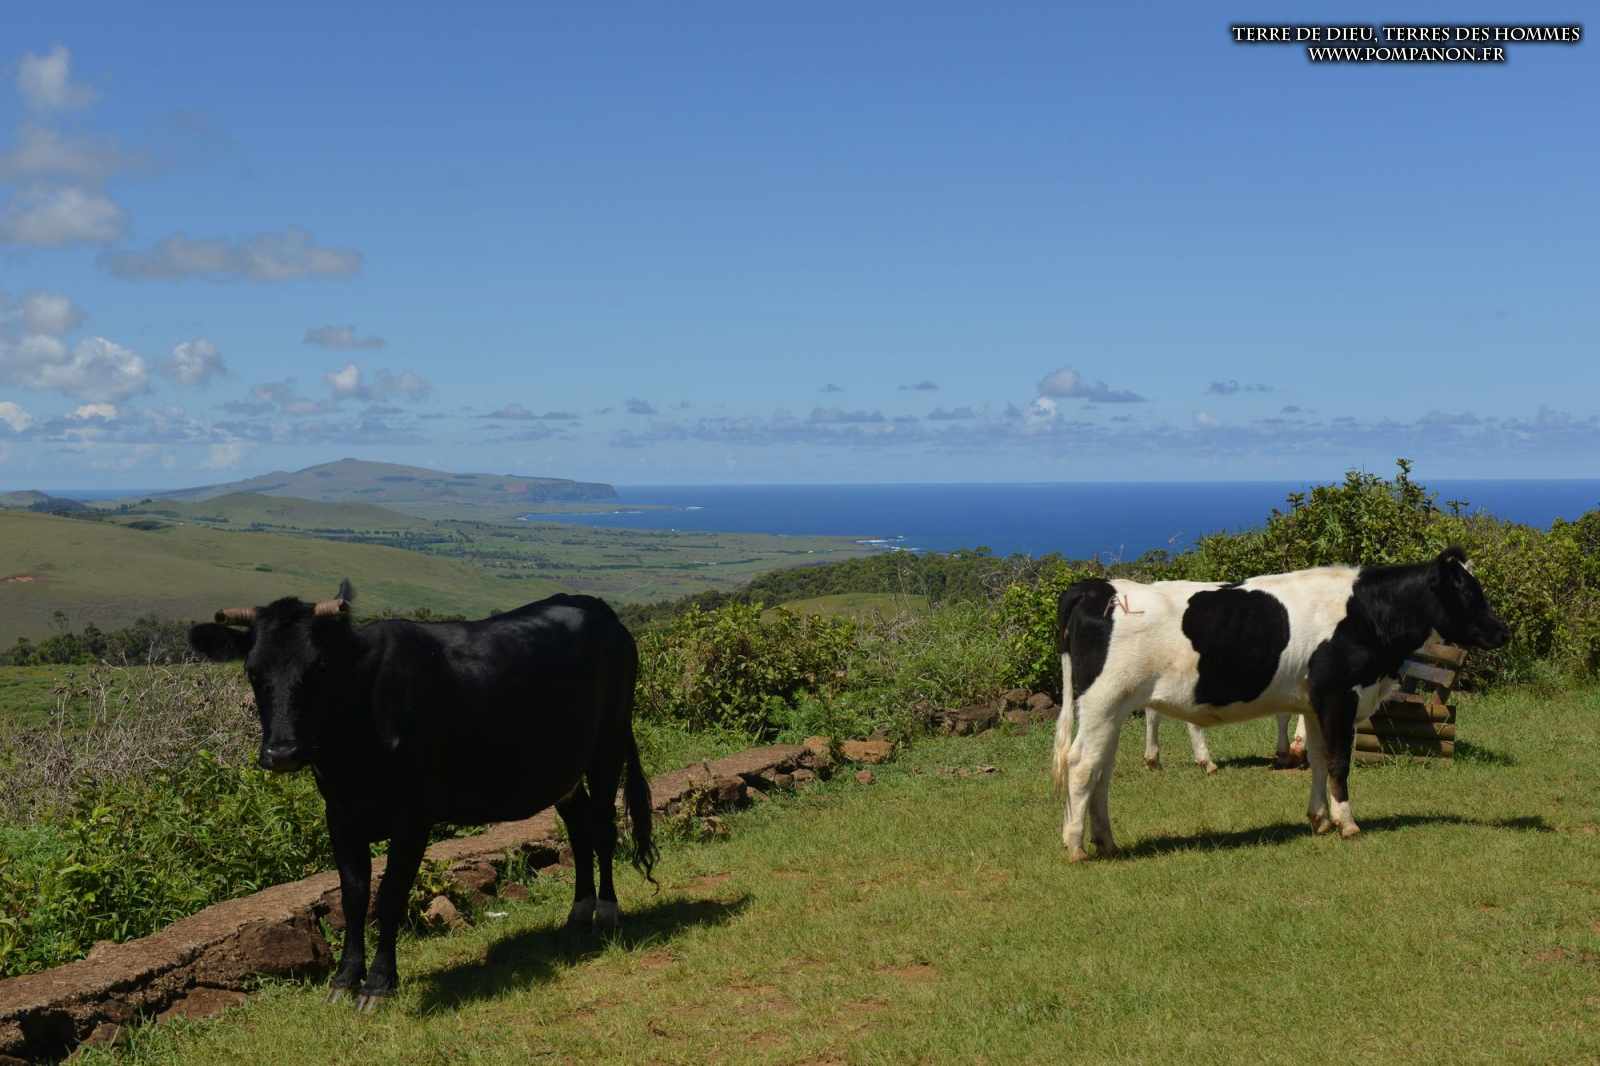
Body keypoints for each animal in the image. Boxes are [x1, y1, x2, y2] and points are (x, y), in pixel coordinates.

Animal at [188, 581, 657, 1010]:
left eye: (319, 667)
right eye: (253, 670)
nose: (282, 752)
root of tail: (596, 607)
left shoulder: (413, 817)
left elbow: (390, 894)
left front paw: (378, 984)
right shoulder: (339, 813)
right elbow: (353, 895)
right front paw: (344, 979)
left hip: (608, 742)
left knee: (603, 826)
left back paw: (607, 912)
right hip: (563, 769)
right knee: (579, 828)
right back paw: (578, 911)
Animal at [1050, 548, 1508, 861]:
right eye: (1467, 592)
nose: (1503, 631)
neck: (1366, 614)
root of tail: (1097, 588)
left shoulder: (1313, 702)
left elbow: (1319, 758)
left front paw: (1320, 818)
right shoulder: (1340, 694)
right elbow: (1340, 760)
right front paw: (1347, 823)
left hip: (1113, 708)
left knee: (1102, 769)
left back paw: (1106, 841)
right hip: (1103, 701)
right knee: (1082, 764)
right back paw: (1075, 846)